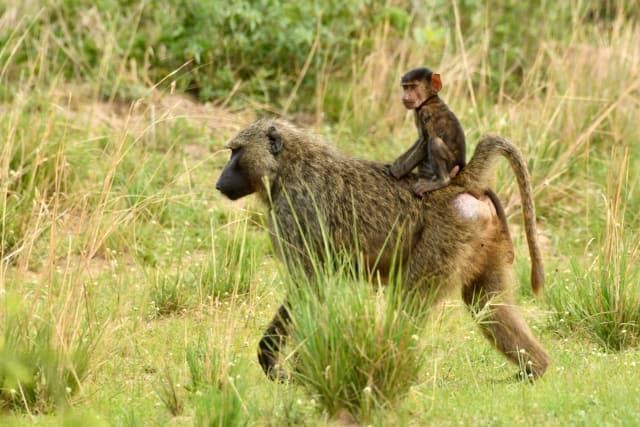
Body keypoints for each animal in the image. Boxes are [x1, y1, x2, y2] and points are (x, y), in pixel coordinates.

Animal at [215, 118, 548, 382]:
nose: (219, 183)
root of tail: (460, 184)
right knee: (487, 306)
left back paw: (385, 364)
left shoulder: (295, 211)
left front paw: (279, 364)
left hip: (447, 236)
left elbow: (308, 287)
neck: (288, 167)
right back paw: (534, 369)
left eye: (236, 152)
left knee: (409, 301)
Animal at [390, 67, 466, 197]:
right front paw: (397, 164)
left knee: (435, 142)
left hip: (451, 164)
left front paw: (398, 172)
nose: (405, 97)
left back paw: (442, 181)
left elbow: (425, 142)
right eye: (405, 87)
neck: (429, 100)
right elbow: (421, 138)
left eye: (413, 87)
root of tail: (462, 165)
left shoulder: (425, 112)